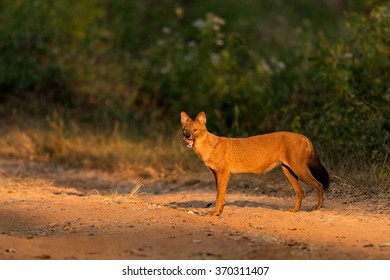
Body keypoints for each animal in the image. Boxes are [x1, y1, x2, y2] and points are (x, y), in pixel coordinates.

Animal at [180, 111, 330, 217]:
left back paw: (318, 207)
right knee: (300, 190)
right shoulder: (216, 174)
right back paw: (295, 210)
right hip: (288, 171)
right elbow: (220, 195)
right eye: (185, 129)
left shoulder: (224, 173)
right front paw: (219, 211)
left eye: (195, 130)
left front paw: (215, 212)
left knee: (318, 184)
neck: (208, 148)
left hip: (300, 169)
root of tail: (303, 136)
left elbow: (219, 196)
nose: (187, 136)